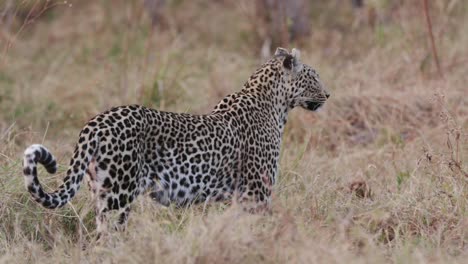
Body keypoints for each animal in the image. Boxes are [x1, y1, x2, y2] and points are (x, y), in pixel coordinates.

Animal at [22, 47, 330, 233]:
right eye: (313, 76)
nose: (328, 94)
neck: (276, 105)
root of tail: (96, 122)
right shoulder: (257, 193)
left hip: (100, 193)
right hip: (118, 197)